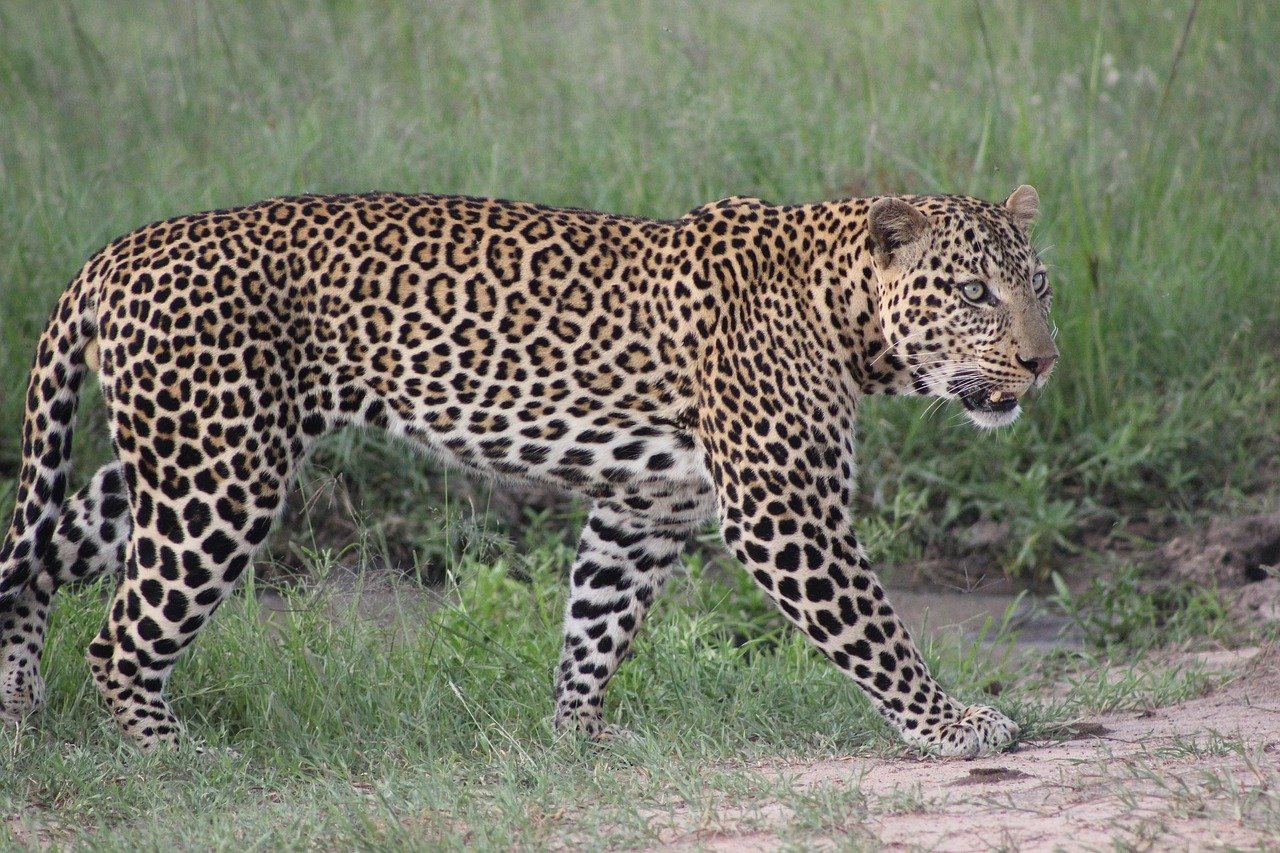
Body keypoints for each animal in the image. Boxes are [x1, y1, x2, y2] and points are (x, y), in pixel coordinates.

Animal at [0, 185, 1056, 757]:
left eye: (1039, 285)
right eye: (974, 292)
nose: (1043, 361)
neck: (845, 315)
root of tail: (116, 253)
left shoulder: (647, 504)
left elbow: (597, 618)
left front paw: (577, 732)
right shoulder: (782, 511)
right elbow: (877, 632)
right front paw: (953, 723)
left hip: (174, 462)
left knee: (38, 557)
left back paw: (18, 708)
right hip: (217, 479)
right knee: (119, 638)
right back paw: (174, 757)